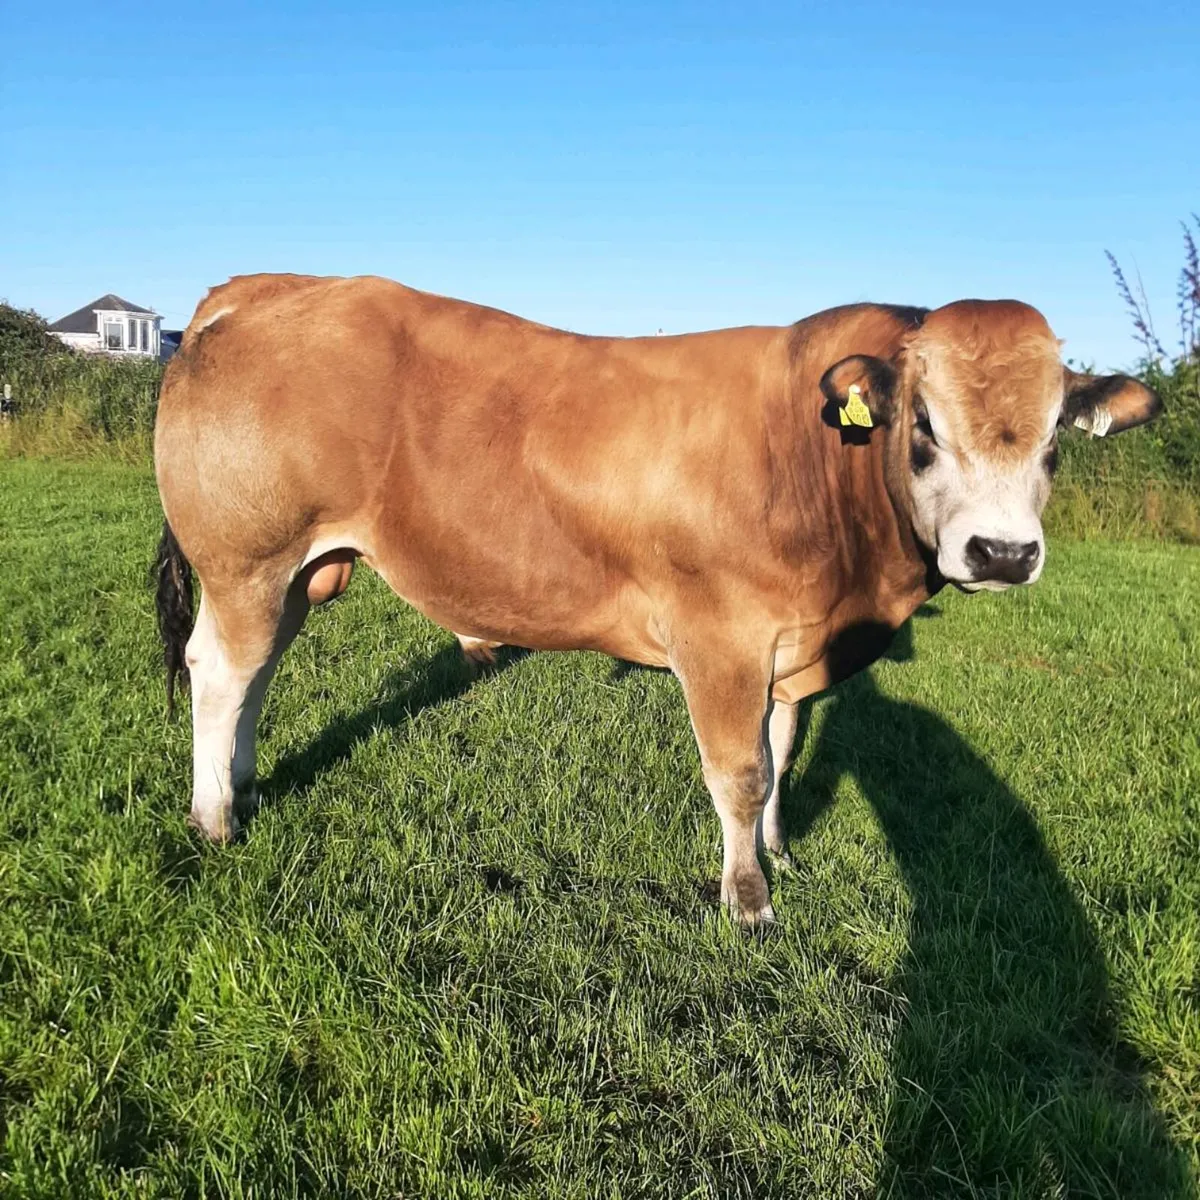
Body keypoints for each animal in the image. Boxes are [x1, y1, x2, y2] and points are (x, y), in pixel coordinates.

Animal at [153, 274, 1161, 926]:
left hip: (293, 570)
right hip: (247, 559)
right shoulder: (720, 639)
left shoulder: (785, 649)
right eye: (923, 424)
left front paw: (780, 850)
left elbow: (780, 754)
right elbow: (740, 771)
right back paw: (213, 819)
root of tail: (263, 286)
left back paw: (242, 785)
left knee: (256, 675)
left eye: (1055, 438)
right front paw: (748, 900)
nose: (1002, 552)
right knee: (220, 672)